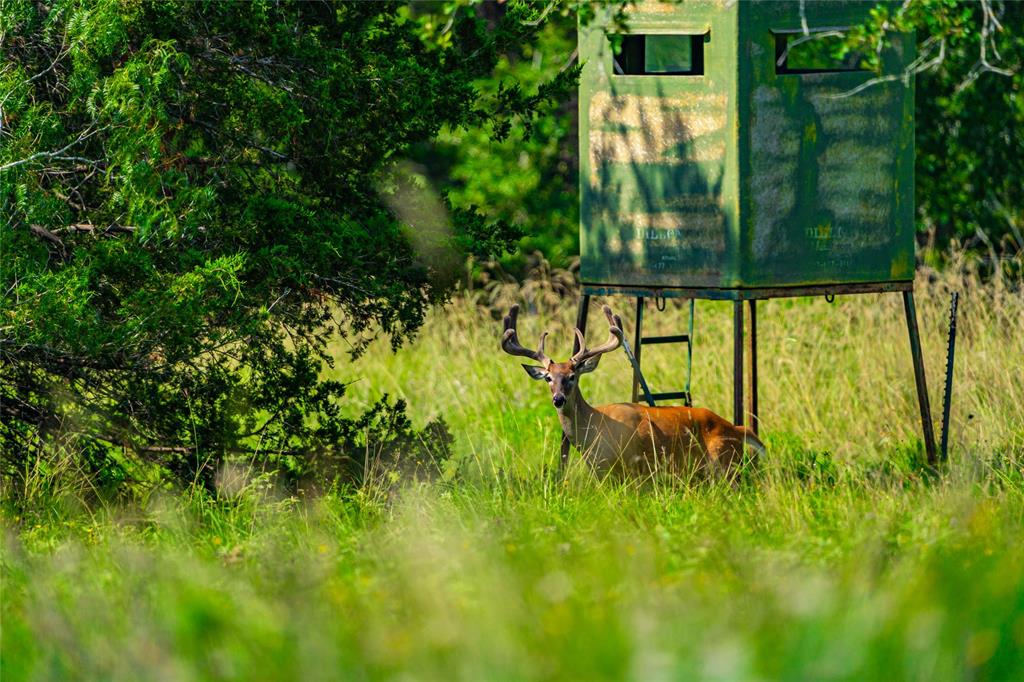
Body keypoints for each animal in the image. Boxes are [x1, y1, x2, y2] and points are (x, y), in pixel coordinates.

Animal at [499, 303, 765, 477]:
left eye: (572, 376)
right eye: (548, 378)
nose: (558, 399)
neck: (593, 429)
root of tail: (738, 429)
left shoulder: (625, 466)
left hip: (723, 463)